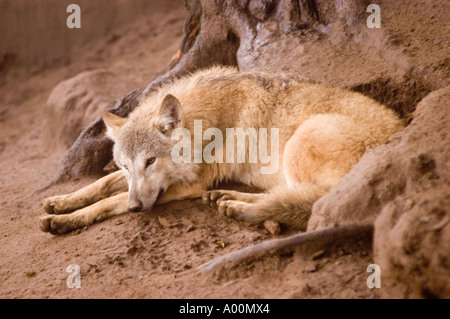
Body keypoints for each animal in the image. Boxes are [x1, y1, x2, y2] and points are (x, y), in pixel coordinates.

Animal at [39, 67, 404, 235]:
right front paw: (61, 202)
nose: (135, 209)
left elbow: (108, 201)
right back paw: (230, 200)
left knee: (311, 202)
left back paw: (243, 209)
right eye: (126, 166)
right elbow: (101, 185)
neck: (204, 122)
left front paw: (65, 221)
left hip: (302, 140)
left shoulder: (189, 185)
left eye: (150, 161)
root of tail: (400, 133)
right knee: (290, 197)